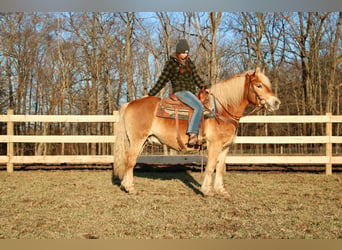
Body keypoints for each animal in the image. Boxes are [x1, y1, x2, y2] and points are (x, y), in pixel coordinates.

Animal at [113, 68, 280, 197]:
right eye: (259, 85)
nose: (276, 102)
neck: (221, 110)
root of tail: (129, 104)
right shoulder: (214, 145)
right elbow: (210, 166)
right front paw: (207, 191)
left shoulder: (225, 147)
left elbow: (220, 168)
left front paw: (221, 190)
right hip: (137, 140)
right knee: (130, 161)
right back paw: (131, 188)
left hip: (142, 141)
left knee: (130, 161)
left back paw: (125, 185)